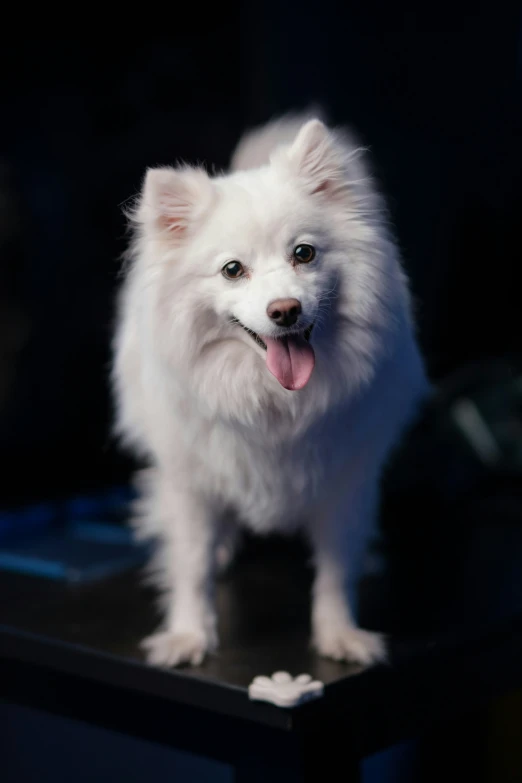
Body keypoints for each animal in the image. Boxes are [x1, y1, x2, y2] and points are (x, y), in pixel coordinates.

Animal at [112, 113, 426, 672]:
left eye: (304, 254)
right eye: (232, 269)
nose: (285, 310)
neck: (272, 399)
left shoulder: (346, 479)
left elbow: (336, 566)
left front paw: (339, 633)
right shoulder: (191, 481)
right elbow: (191, 565)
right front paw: (189, 635)